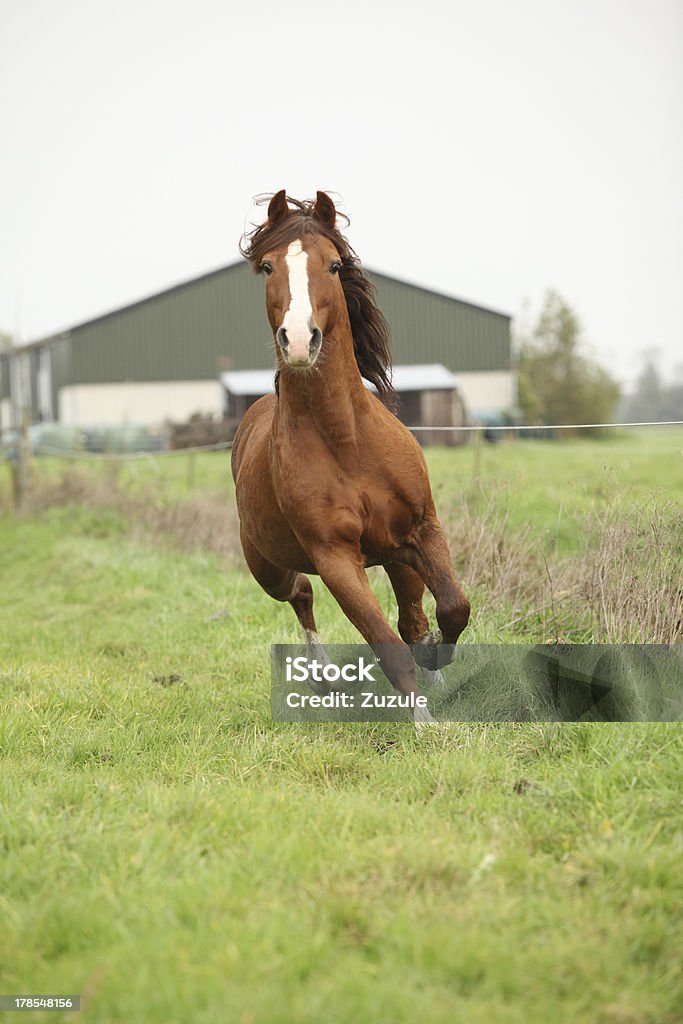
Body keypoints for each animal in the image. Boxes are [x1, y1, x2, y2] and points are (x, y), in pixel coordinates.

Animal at [231, 190, 471, 720]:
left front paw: (437, 661)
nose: (300, 340)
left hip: (394, 553)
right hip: (267, 567)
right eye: (267, 266)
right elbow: (388, 645)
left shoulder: (421, 529)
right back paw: (320, 674)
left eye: (335, 265)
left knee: (413, 616)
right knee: (300, 593)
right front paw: (427, 724)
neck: (346, 441)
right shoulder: (337, 559)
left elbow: (452, 608)